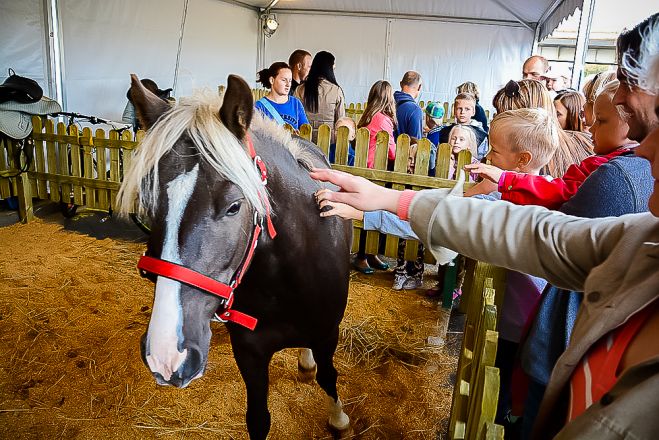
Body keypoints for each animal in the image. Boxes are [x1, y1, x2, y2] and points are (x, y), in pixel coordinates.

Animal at [118, 74, 356, 438]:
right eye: (148, 204)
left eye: (234, 206)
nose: (167, 353)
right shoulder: (249, 352)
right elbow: (258, 419)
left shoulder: (327, 334)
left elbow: (329, 376)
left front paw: (339, 419)